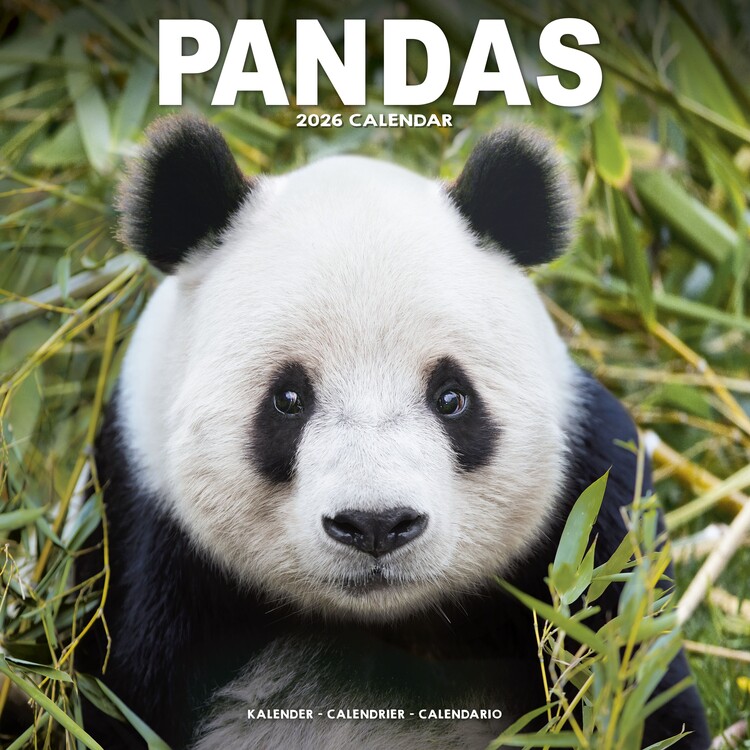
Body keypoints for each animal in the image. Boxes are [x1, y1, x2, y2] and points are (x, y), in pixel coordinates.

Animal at [76, 115, 710, 750]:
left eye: (451, 398)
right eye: (288, 399)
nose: (376, 525)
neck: (384, 624)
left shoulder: (589, 511)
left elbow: (629, 680)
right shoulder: (146, 539)